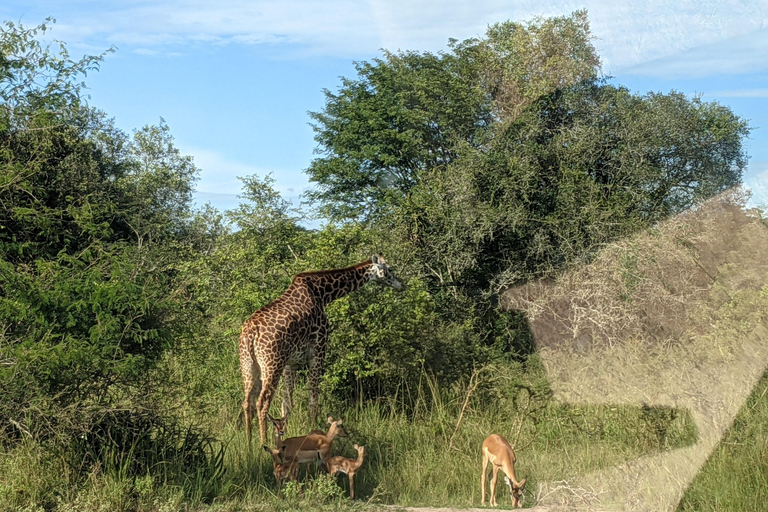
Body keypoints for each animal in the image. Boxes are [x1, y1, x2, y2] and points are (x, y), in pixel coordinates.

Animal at [240, 254, 404, 446]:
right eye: (389, 269)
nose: (401, 284)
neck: (322, 294)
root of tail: (251, 333)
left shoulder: (290, 363)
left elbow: (287, 404)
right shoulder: (318, 351)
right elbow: (313, 401)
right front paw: (313, 431)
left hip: (249, 365)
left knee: (248, 402)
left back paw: (248, 442)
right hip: (272, 364)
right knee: (262, 402)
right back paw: (262, 442)